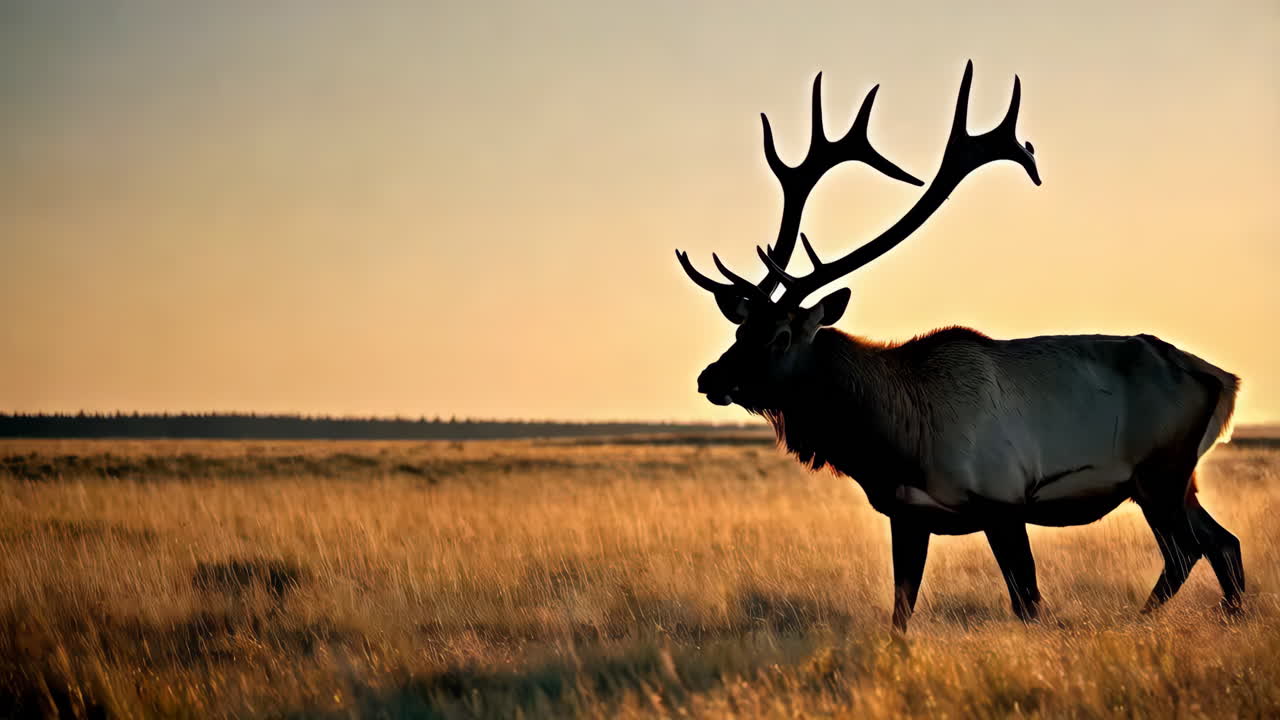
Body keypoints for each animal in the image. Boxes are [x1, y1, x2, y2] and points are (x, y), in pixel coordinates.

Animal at [675, 61, 1243, 633]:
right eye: (739, 330)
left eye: (782, 335)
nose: (710, 377)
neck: (891, 442)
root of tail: (1224, 379)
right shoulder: (907, 514)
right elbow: (901, 610)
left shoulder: (1004, 501)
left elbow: (1027, 602)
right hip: (1180, 480)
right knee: (1224, 543)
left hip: (1160, 474)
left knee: (1188, 551)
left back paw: (1140, 620)